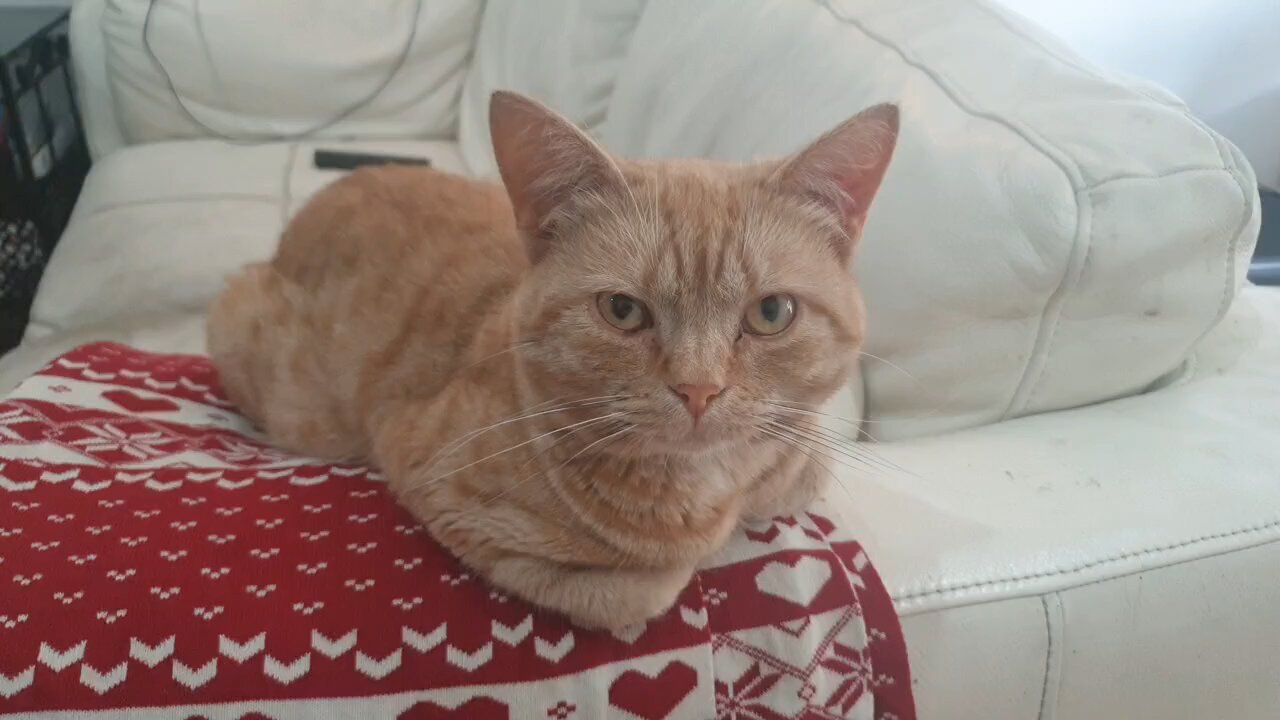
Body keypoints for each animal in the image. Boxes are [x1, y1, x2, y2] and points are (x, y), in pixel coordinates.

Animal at [207, 90, 901, 627]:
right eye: (622, 311)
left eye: (771, 313)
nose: (699, 390)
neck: (710, 493)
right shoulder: (439, 486)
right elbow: (641, 589)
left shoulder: (800, 458)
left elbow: (801, 465)